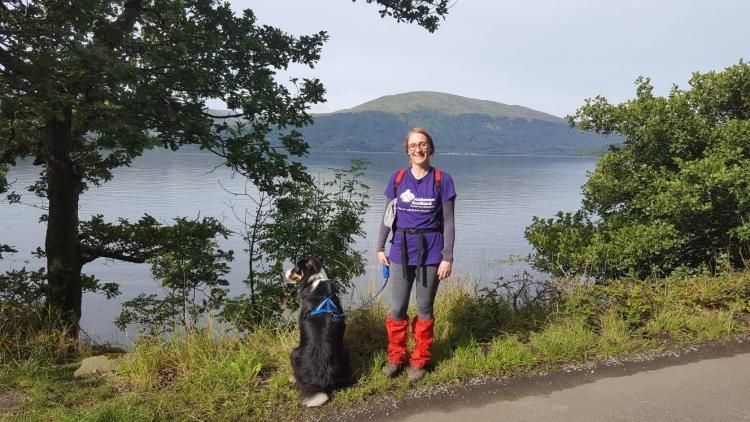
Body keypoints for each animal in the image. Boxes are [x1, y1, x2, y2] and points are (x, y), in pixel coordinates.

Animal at [284, 256, 352, 408]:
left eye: (296, 268)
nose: (284, 273)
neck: (315, 280)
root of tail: (320, 381)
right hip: (345, 351)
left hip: (294, 353)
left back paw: (292, 378)